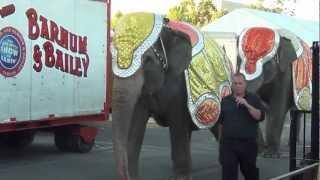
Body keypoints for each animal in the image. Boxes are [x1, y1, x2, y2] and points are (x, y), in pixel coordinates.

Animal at [111, 11, 231, 179]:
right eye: (111, 57)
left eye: (147, 60)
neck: (165, 32)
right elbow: (136, 127)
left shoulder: (180, 87)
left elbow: (178, 125)